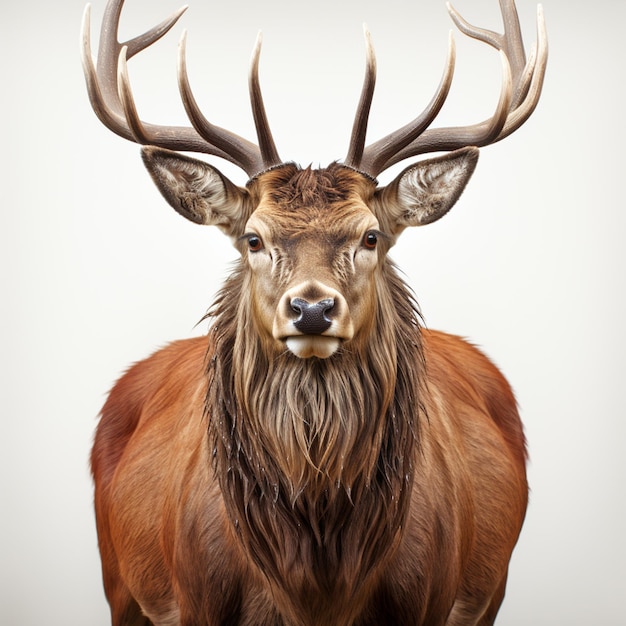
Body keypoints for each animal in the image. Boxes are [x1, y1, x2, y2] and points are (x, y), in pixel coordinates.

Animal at [83, 0, 544, 620]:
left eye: (372, 236)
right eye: (253, 238)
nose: (311, 309)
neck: (317, 586)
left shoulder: (432, 597)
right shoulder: (196, 599)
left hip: (491, 592)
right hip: (118, 584)